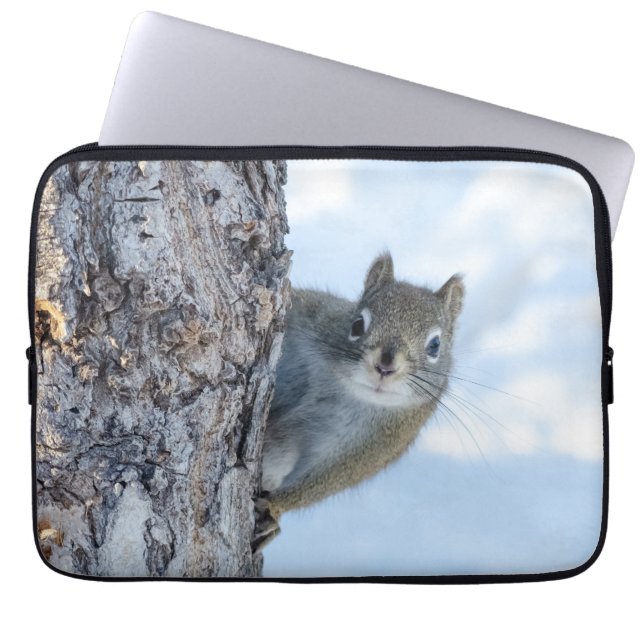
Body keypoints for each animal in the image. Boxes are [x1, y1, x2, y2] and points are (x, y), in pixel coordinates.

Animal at [253, 252, 464, 550]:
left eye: (435, 346)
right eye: (356, 325)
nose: (385, 366)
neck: (347, 390)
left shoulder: (376, 444)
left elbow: (327, 480)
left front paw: (275, 507)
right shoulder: (313, 314)